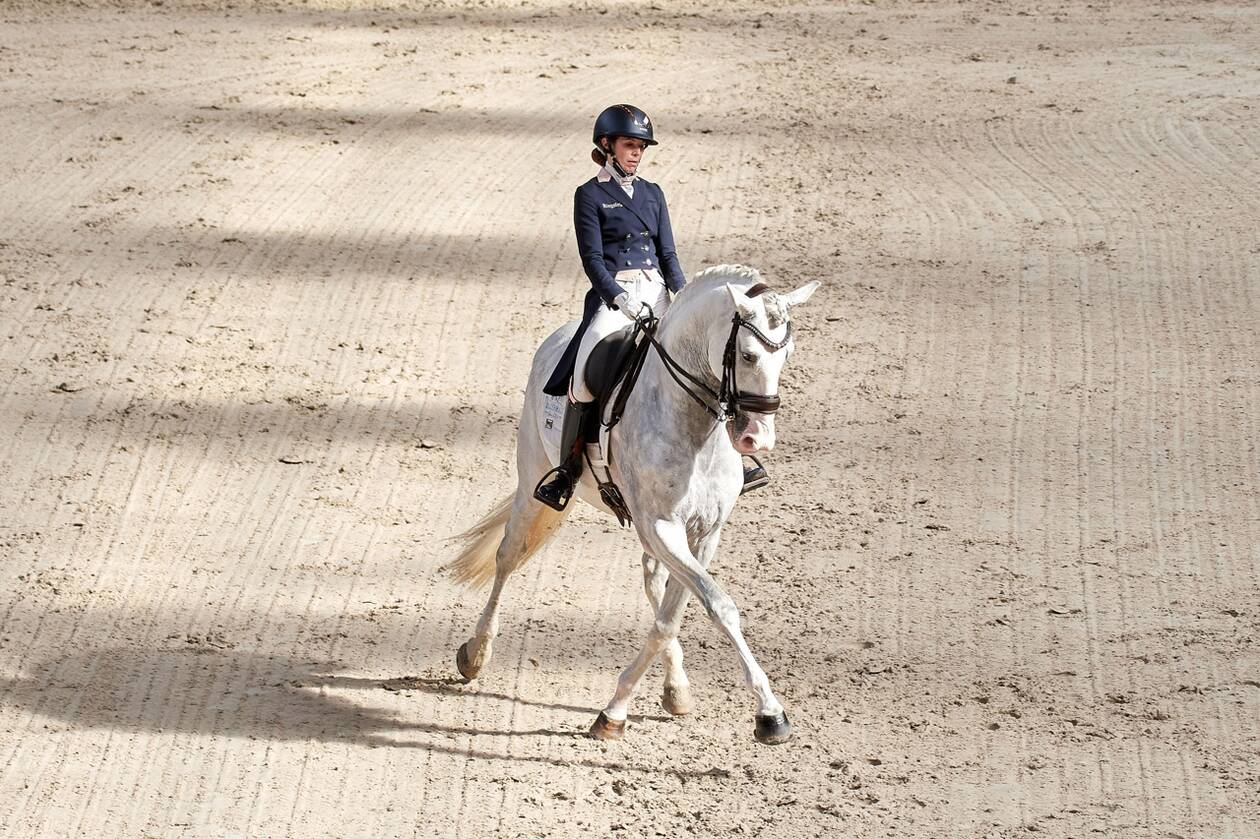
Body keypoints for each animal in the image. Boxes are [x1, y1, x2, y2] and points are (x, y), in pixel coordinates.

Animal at [448, 264, 821, 740]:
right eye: (749, 355)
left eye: (787, 355)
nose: (758, 439)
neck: (693, 427)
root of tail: (557, 338)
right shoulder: (661, 525)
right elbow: (716, 607)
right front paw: (769, 714)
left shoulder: (704, 533)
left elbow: (673, 615)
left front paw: (631, 704)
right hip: (534, 477)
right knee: (508, 555)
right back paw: (475, 654)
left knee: (652, 579)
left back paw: (675, 687)